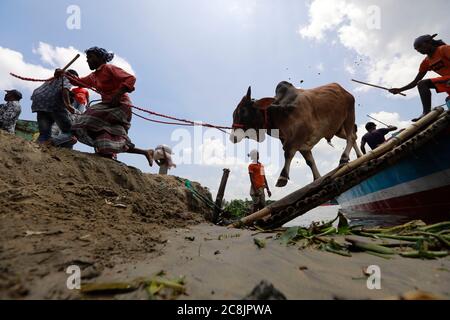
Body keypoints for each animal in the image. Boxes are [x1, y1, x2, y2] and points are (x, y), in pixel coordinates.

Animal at [232, 81, 362, 188]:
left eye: (243, 111)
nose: (232, 137)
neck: (280, 112)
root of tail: (344, 90)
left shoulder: (299, 135)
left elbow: (288, 152)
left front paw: (282, 177)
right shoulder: (300, 144)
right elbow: (309, 161)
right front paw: (317, 178)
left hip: (349, 116)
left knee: (351, 137)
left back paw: (344, 158)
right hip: (338, 129)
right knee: (354, 137)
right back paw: (360, 156)